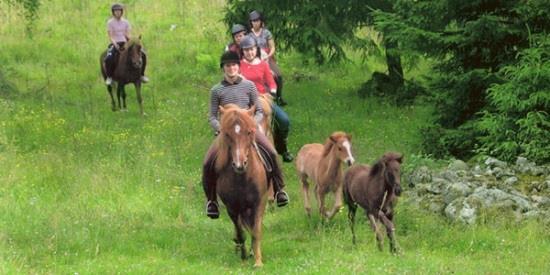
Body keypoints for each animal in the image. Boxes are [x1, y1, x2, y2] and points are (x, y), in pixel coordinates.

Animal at [213, 105, 270, 268]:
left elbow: (256, 231)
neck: (242, 178)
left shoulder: (259, 203)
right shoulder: (232, 207)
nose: (239, 165)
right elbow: (240, 231)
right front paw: (243, 255)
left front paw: (258, 261)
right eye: (227, 134)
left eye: (249, 132)